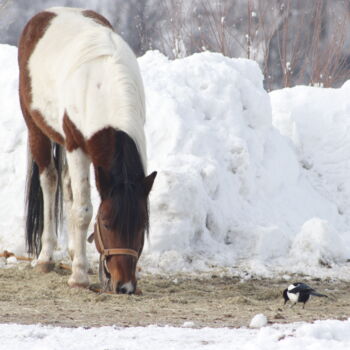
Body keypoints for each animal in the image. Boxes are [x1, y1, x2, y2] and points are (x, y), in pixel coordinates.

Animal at [17, 6, 157, 294]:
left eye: (142, 224)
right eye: (106, 223)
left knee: (68, 188)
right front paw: (79, 277)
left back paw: (73, 253)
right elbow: (82, 211)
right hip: (37, 130)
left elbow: (76, 203)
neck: (104, 86)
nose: (124, 286)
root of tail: (49, 12)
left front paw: (81, 265)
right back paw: (46, 258)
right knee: (50, 182)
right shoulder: (76, 146)